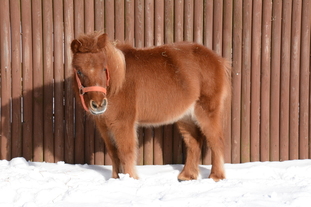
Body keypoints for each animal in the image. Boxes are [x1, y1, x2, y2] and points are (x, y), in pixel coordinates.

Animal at [70, 32, 232, 181]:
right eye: (79, 71)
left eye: (104, 68)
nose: (98, 105)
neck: (118, 82)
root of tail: (217, 59)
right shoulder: (104, 126)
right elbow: (113, 152)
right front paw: (116, 179)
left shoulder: (123, 124)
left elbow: (126, 152)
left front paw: (130, 179)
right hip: (186, 116)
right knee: (194, 142)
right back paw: (187, 176)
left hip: (206, 111)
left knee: (216, 141)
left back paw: (216, 176)